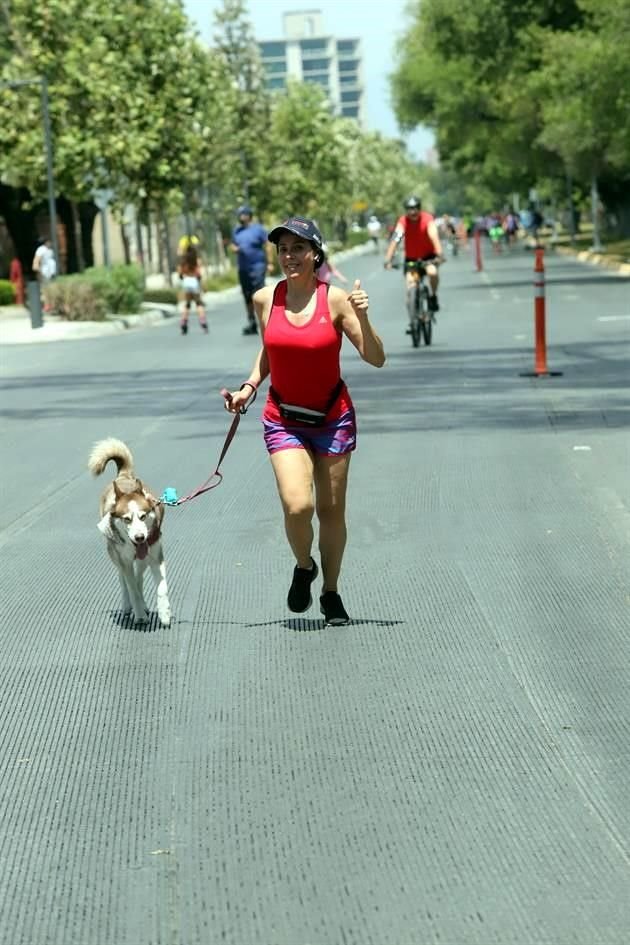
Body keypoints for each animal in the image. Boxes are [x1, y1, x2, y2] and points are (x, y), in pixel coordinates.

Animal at [88, 436, 173, 628]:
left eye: (143, 516)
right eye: (126, 519)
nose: (140, 537)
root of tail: (124, 477)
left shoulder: (155, 554)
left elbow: (161, 586)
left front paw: (164, 612)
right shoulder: (124, 560)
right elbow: (131, 585)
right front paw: (140, 615)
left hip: (144, 558)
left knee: (139, 576)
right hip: (115, 554)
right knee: (125, 579)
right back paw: (129, 606)